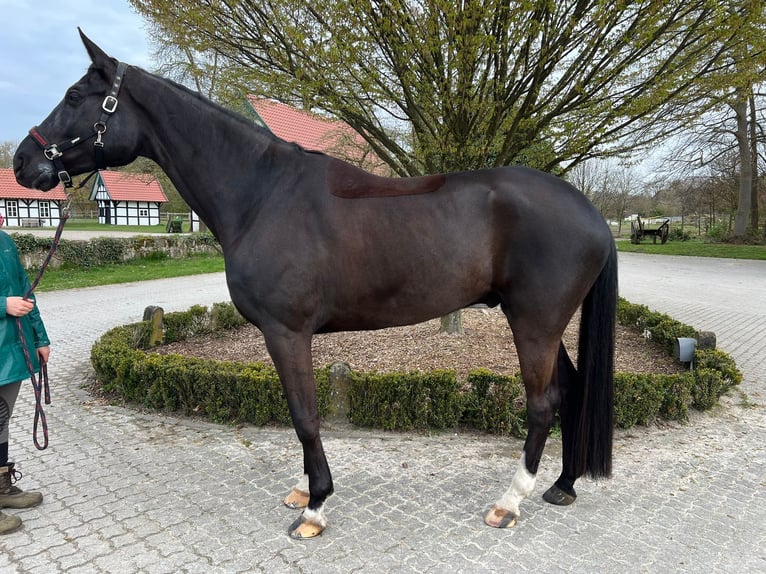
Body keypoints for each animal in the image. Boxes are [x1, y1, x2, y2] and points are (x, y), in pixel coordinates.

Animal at [13, 31, 617, 539]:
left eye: (74, 95)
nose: (21, 161)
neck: (262, 194)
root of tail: (591, 213)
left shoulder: (287, 332)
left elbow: (304, 415)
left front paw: (316, 507)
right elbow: (298, 413)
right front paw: (306, 491)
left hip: (533, 324)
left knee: (542, 404)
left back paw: (509, 503)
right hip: (545, 326)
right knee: (568, 392)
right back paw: (562, 486)